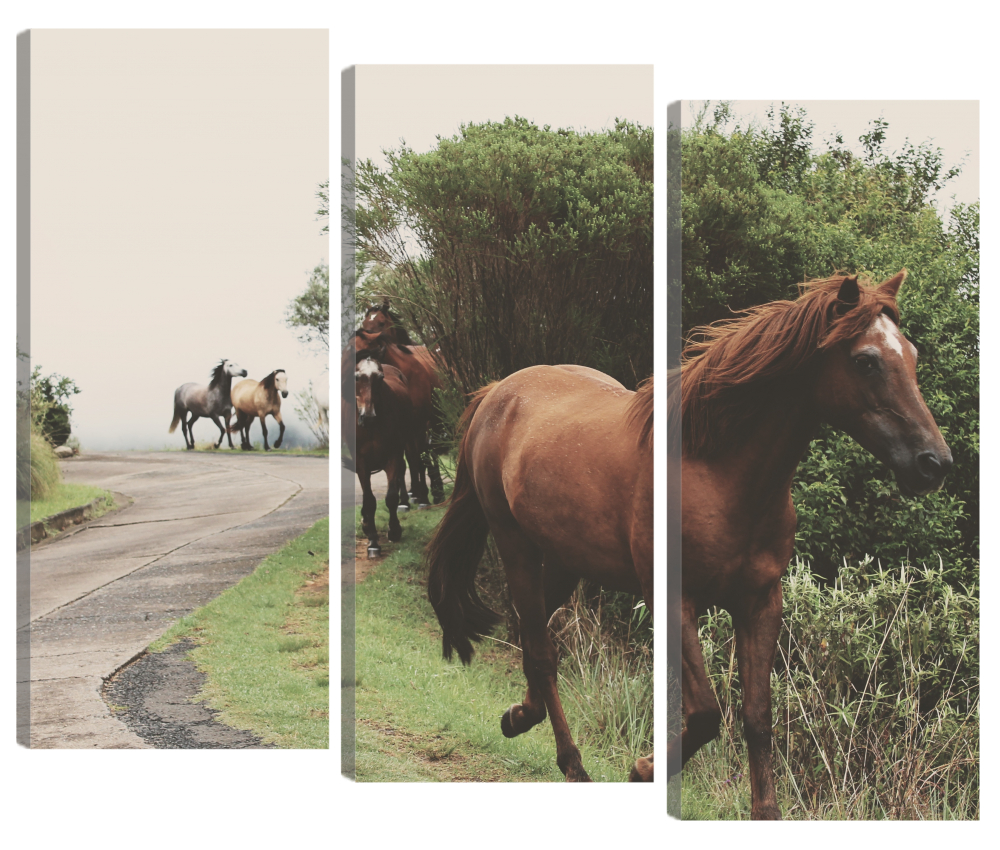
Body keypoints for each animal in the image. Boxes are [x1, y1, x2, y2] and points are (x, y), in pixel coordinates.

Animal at [344, 354, 414, 552]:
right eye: (357, 377)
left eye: (380, 378)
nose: (367, 416)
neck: (371, 427)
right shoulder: (361, 462)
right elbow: (369, 500)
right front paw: (373, 540)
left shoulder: (393, 455)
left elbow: (391, 497)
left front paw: (394, 530)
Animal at [354, 328, 444, 504]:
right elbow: (405, 462)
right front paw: (406, 498)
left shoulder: (420, 424)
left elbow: (419, 458)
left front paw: (423, 496)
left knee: (429, 452)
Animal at [424, 364, 652, 780]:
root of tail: (499, 388)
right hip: (515, 543)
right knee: (540, 646)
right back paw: (570, 761)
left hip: (565, 558)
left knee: (532, 633)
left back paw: (522, 717)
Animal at [676, 272, 948, 816]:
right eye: (866, 360)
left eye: (912, 354)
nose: (936, 463)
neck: (721, 476)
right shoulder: (679, 599)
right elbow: (704, 714)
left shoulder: (761, 603)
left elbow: (757, 720)